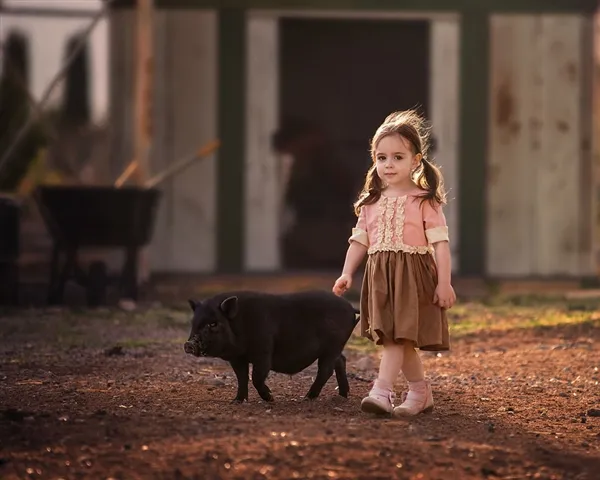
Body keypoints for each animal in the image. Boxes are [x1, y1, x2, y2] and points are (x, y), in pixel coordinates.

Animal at [183, 290, 358, 404]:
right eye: (194, 323)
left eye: (213, 324)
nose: (188, 344)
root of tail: (351, 308)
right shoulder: (237, 358)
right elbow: (242, 377)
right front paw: (237, 401)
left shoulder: (264, 351)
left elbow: (256, 377)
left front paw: (270, 398)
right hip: (334, 349)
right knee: (341, 361)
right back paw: (342, 396)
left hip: (332, 347)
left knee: (326, 370)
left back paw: (307, 398)